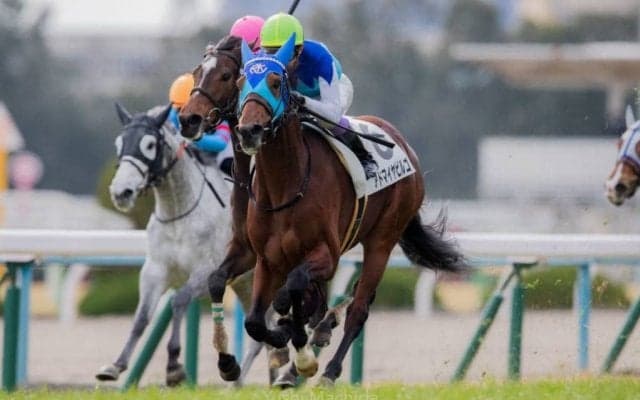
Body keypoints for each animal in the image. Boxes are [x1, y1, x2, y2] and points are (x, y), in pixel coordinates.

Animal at [96, 103, 256, 386]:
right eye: (119, 143)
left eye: (150, 145)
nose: (121, 192)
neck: (179, 213)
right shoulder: (154, 270)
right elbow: (141, 317)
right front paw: (116, 365)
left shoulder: (206, 271)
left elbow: (178, 302)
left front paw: (173, 365)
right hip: (245, 282)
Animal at [230, 35, 468, 384]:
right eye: (239, 82)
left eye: (275, 82)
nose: (249, 130)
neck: (285, 185)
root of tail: (403, 143)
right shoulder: (267, 260)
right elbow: (256, 322)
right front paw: (288, 341)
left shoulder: (326, 254)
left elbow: (293, 288)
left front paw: (302, 352)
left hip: (382, 239)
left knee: (358, 308)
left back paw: (328, 371)